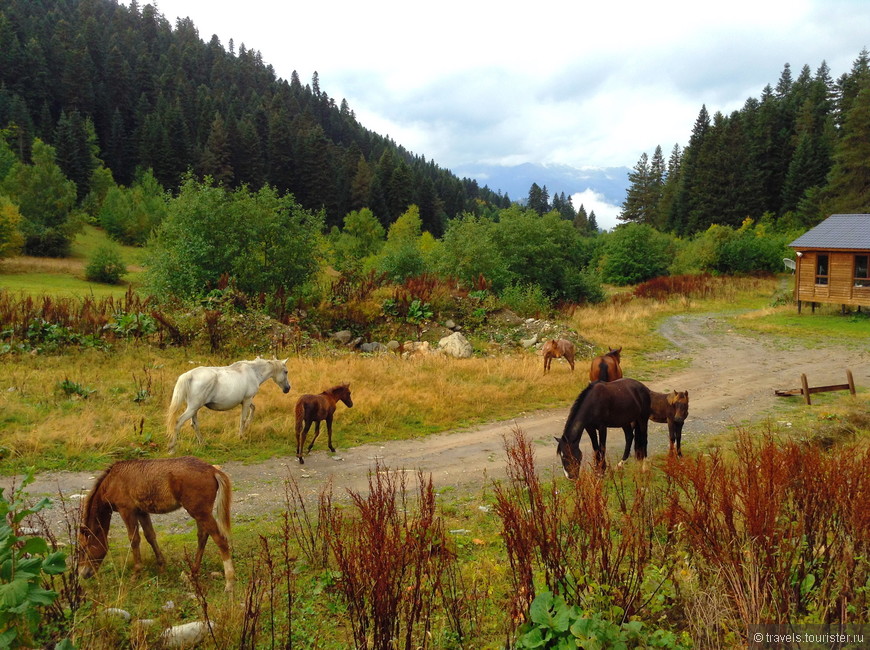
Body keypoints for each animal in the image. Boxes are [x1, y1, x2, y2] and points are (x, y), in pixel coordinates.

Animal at [76, 456, 235, 588]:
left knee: (220, 539)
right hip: (199, 513)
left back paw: (229, 583)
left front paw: (136, 574)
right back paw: (193, 573)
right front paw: (161, 567)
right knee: (202, 537)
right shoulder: (141, 511)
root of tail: (212, 470)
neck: (112, 481)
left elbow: (134, 539)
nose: (82, 573)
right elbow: (150, 536)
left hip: (200, 513)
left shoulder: (126, 510)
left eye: (83, 548)